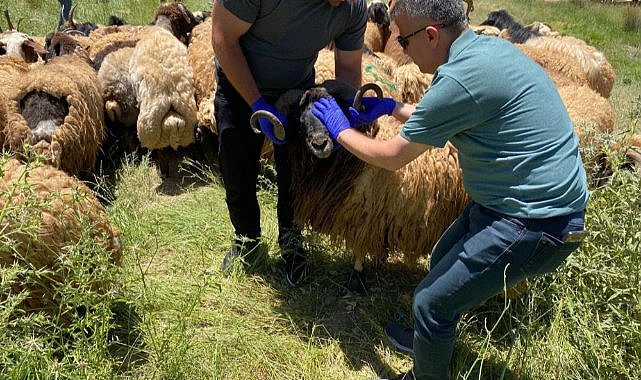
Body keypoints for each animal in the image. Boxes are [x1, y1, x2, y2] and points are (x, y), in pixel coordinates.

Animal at [252, 81, 468, 292]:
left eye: (335, 109)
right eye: (300, 120)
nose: (320, 144)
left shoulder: (364, 213)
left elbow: (359, 248)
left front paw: (357, 280)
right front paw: (379, 259)